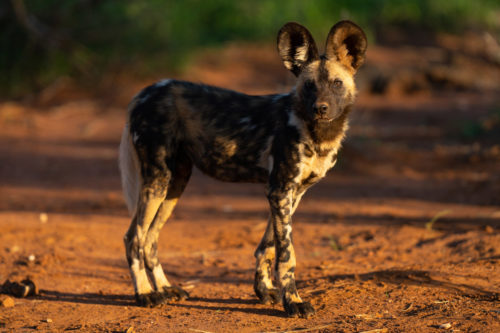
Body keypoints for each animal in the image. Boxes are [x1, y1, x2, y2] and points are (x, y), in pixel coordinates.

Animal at [118, 20, 366, 316]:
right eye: (308, 86)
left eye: (337, 84)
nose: (321, 108)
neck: (319, 135)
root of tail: (144, 92)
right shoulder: (280, 190)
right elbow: (287, 255)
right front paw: (293, 302)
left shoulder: (291, 194)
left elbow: (268, 246)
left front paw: (264, 290)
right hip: (157, 180)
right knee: (133, 238)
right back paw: (145, 294)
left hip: (174, 184)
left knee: (150, 239)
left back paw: (166, 288)